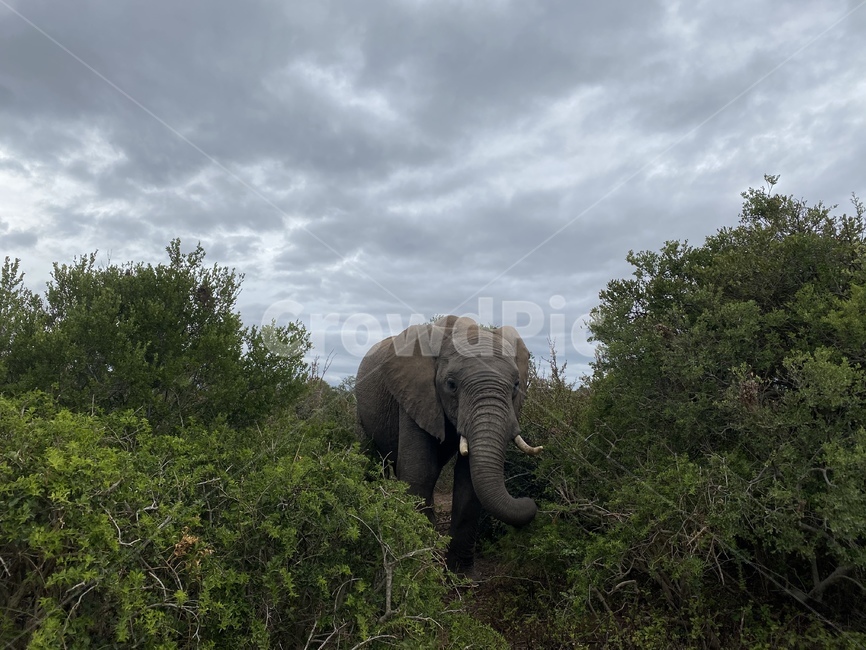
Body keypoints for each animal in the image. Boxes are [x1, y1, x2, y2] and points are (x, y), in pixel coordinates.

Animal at [355, 315, 542, 572]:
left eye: (516, 385)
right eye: (451, 384)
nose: (530, 502)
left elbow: (468, 482)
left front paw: (459, 574)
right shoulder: (416, 393)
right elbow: (418, 471)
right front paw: (422, 566)